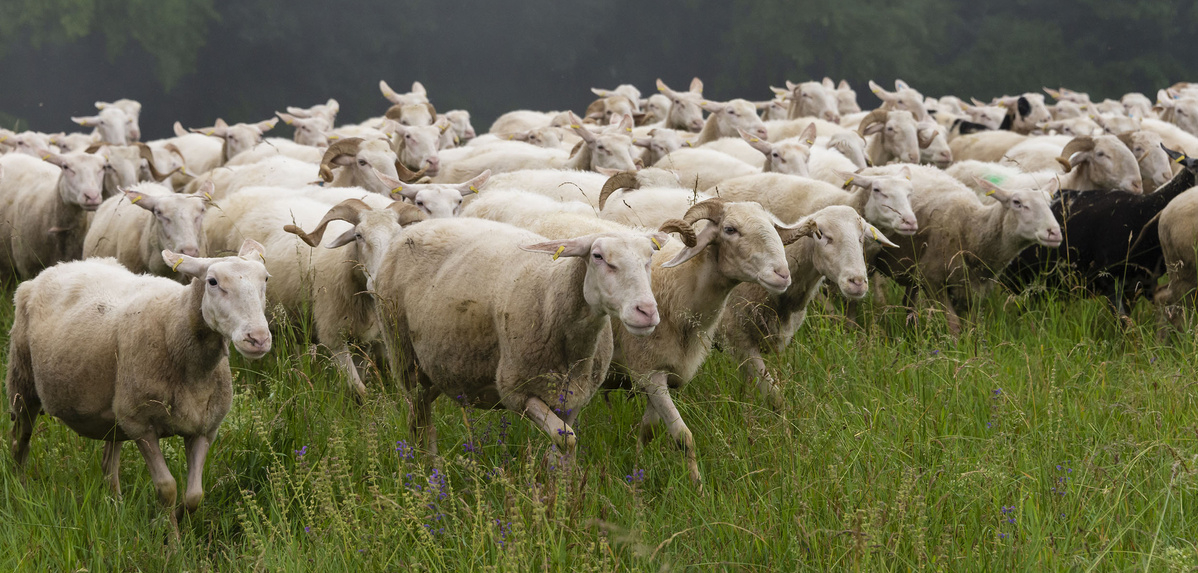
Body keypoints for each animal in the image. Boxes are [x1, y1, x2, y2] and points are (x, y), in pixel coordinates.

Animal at [6, 240, 270, 531]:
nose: (258, 338)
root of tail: (62, 266)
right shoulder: (141, 425)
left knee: (108, 464)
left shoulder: (204, 429)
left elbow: (194, 495)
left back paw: (116, 507)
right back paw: (19, 491)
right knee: (21, 442)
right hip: (23, 382)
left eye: (266, 279)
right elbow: (167, 488)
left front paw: (176, 518)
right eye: (212, 281)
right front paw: (170, 535)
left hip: (114, 411)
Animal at [370, 216, 669, 456]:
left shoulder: (572, 399)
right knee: (421, 425)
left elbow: (562, 445)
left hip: (435, 370)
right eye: (598, 256)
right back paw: (429, 472)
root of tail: (418, 225)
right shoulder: (517, 392)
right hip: (405, 359)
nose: (646, 311)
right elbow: (567, 440)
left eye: (649, 260)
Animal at [869, 165, 1062, 334]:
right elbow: (954, 324)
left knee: (909, 303)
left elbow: (972, 325)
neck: (970, 229)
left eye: (1050, 202)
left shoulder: (974, 288)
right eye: (1017, 202)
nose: (1054, 232)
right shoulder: (933, 281)